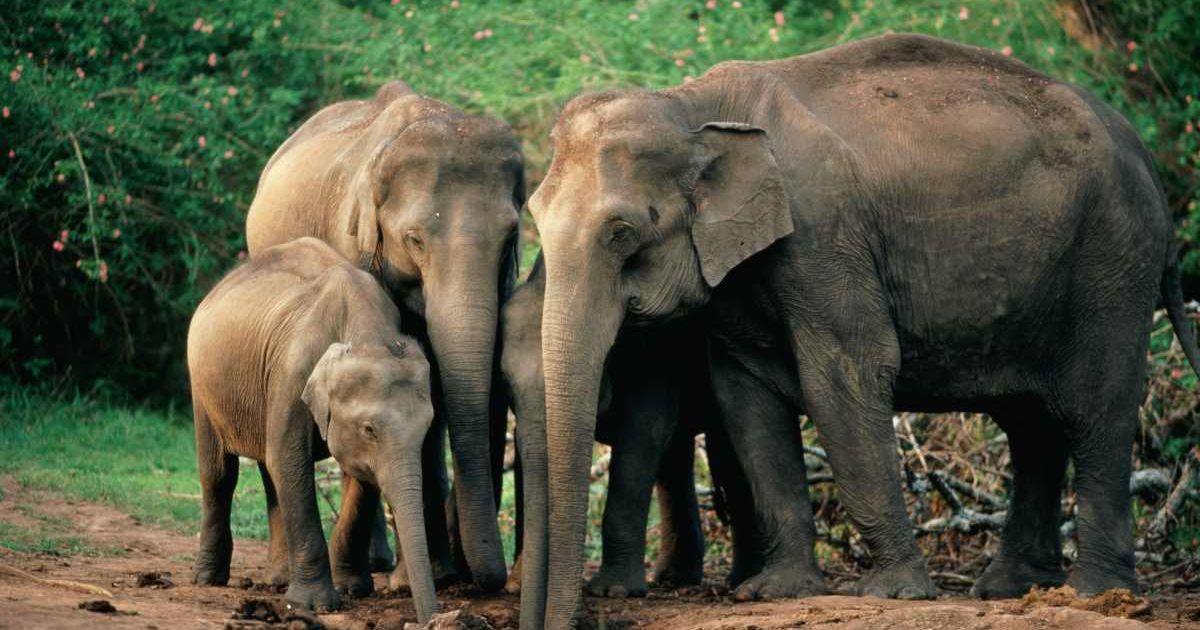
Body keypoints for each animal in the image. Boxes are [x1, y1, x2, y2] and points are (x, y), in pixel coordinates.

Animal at [186, 237, 438, 622]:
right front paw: (316, 604)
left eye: (427, 427)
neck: (367, 333)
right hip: (203, 386)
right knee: (220, 473)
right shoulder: (292, 374)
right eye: (369, 429)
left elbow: (359, 478)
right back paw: (208, 579)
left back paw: (278, 580)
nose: (432, 620)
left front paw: (352, 589)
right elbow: (290, 461)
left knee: (268, 470)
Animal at [245, 81, 523, 592]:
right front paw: (411, 582)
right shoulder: (353, 243)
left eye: (511, 237)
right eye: (414, 239)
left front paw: (429, 575)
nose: (487, 579)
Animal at [502, 254, 772, 600]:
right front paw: (517, 585)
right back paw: (675, 578)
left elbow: (646, 428)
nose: (515, 585)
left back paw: (740, 581)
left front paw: (612, 591)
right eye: (506, 382)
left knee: (724, 452)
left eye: (603, 360)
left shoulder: (652, 348)